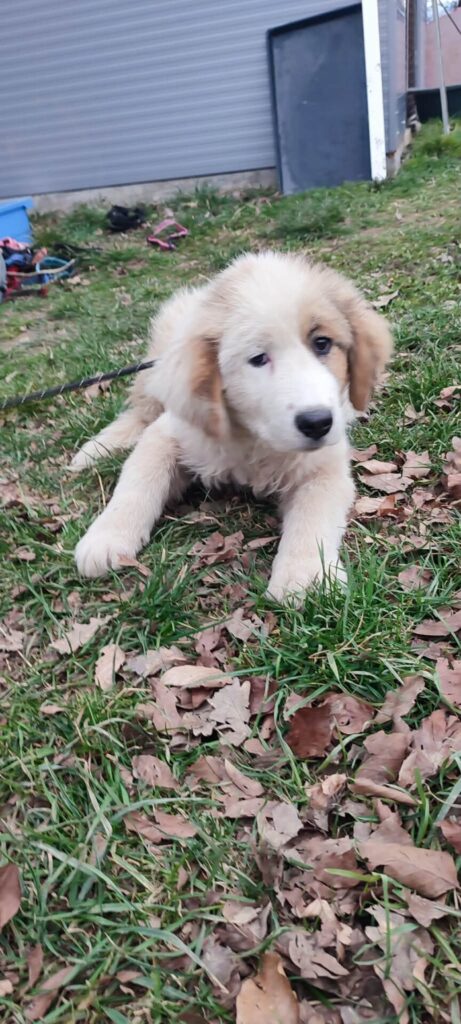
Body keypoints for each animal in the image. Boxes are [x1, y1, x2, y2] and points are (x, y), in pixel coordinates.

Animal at [71, 251, 392, 602]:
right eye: (258, 358)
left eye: (322, 343)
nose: (317, 422)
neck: (254, 438)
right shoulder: (170, 431)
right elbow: (138, 483)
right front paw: (106, 537)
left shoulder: (325, 465)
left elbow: (314, 514)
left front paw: (305, 576)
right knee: (141, 412)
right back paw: (98, 448)